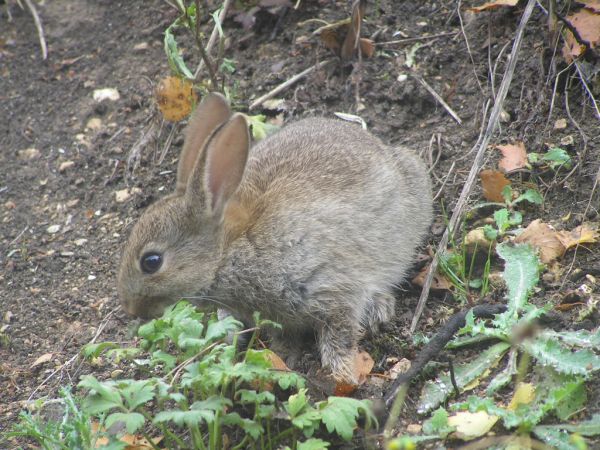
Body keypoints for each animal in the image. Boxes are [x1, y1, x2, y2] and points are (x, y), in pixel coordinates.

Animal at [118, 92, 432, 384]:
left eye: (151, 262)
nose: (130, 309)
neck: (231, 248)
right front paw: (283, 357)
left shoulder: (333, 287)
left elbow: (339, 333)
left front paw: (343, 374)